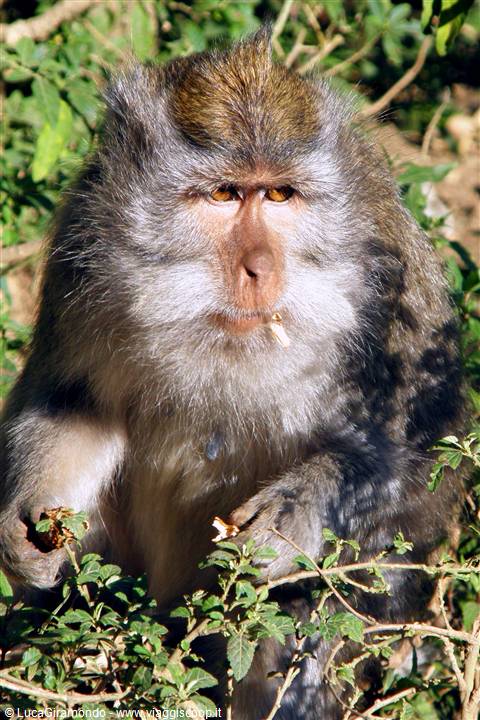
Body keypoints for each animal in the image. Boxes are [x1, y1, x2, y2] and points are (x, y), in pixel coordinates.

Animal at [0, 29, 464, 718]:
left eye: (279, 195)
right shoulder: (82, 251)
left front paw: (298, 508)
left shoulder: (391, 276)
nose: (257, 267)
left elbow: (430, 452)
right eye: (224, 194)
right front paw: (22, 524)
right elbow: (74, 404)